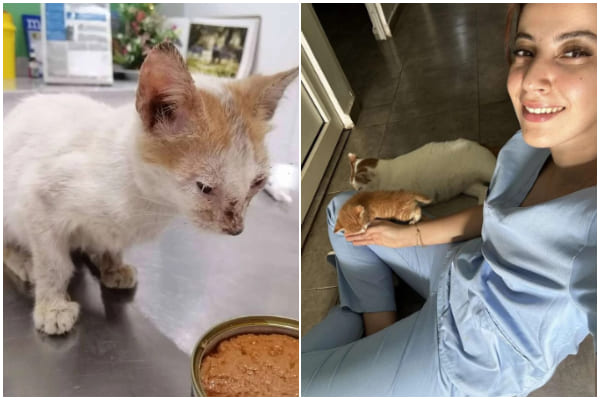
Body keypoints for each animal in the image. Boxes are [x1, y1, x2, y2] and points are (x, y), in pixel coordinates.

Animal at [1, 41, 298, 334]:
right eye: (205, 187)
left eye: (257, 183)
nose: (236, 229)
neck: (148, 200)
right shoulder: (38, 198)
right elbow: (53, 264)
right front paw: (52, 306)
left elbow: (112, 243)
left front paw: (113, 266)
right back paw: (23, 261)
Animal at [346, 138, 496, 206]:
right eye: (354, 188)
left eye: (359, 189)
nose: (356, 194)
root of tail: (480, 143)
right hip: (468, 186)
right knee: (483, 190)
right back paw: (482, 204)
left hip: (487, 169)